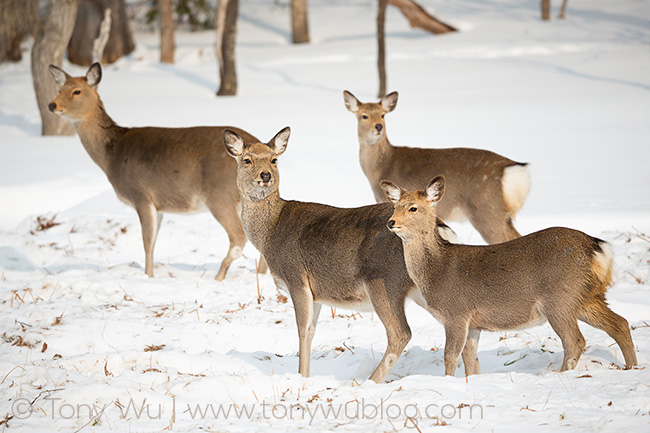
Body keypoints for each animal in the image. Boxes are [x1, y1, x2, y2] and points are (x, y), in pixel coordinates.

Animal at [46, 63, 266, 280]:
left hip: (219, 195)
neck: (111, 155)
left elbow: (147, 242)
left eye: (77, 91)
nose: (51, 105)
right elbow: (153, 242)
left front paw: (148, 277)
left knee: (238, 237)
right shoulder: (159, 204)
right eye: (59, 89)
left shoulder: (141, 195)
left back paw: (219, 276)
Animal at [223, 125, 456, 382]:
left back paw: (370, 381)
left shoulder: (296, 278)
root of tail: (440, 227)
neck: (270, 232)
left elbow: (302, 330)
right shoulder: (316, 293)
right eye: (247, 160)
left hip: (383, 280)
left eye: (274, 159)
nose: (265, 175)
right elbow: (311, 331)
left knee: (400, 332)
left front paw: (301, 377)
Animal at [342, 89, 528, 245]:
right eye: (364, 116)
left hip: (487, 210)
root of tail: (511, 169)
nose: (378, 126)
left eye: (383, 115)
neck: (381, 167)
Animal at [380, 176, 636, 374]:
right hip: (585, 297)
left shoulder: (457, 313)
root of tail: (597, 248)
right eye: (395, 206)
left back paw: (560, 374)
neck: (437, 270)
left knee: (575, 341)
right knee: (620, 323)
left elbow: (450, 356)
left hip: (559, 298)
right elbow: (470, 359)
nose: (391, 223)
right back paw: (633, 367)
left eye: (413, 207)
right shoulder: (474, 322)